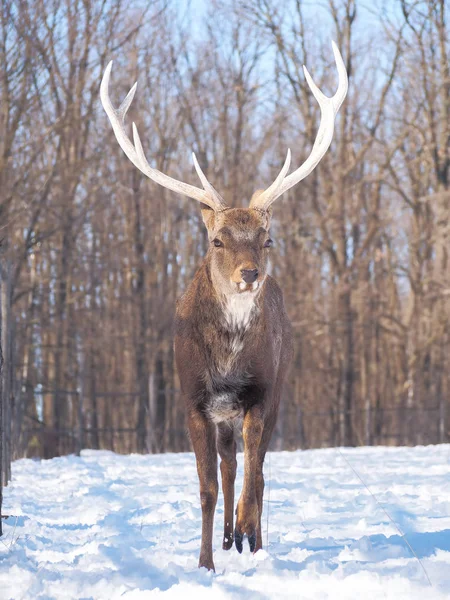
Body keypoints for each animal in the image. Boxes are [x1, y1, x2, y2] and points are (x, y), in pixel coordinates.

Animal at [101, 39, 348, 568]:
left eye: (267, 239)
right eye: (217, 239)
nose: (249, 274)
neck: (227, 364)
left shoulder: (261, 393)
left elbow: (255, 477)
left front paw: (250, 539)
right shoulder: (192, 399)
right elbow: (207, 488)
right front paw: (204, 563)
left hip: (275, 391)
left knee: (255, 471)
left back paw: (248, 536)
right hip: (223, 416)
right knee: (231, 466)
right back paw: (229, 538)